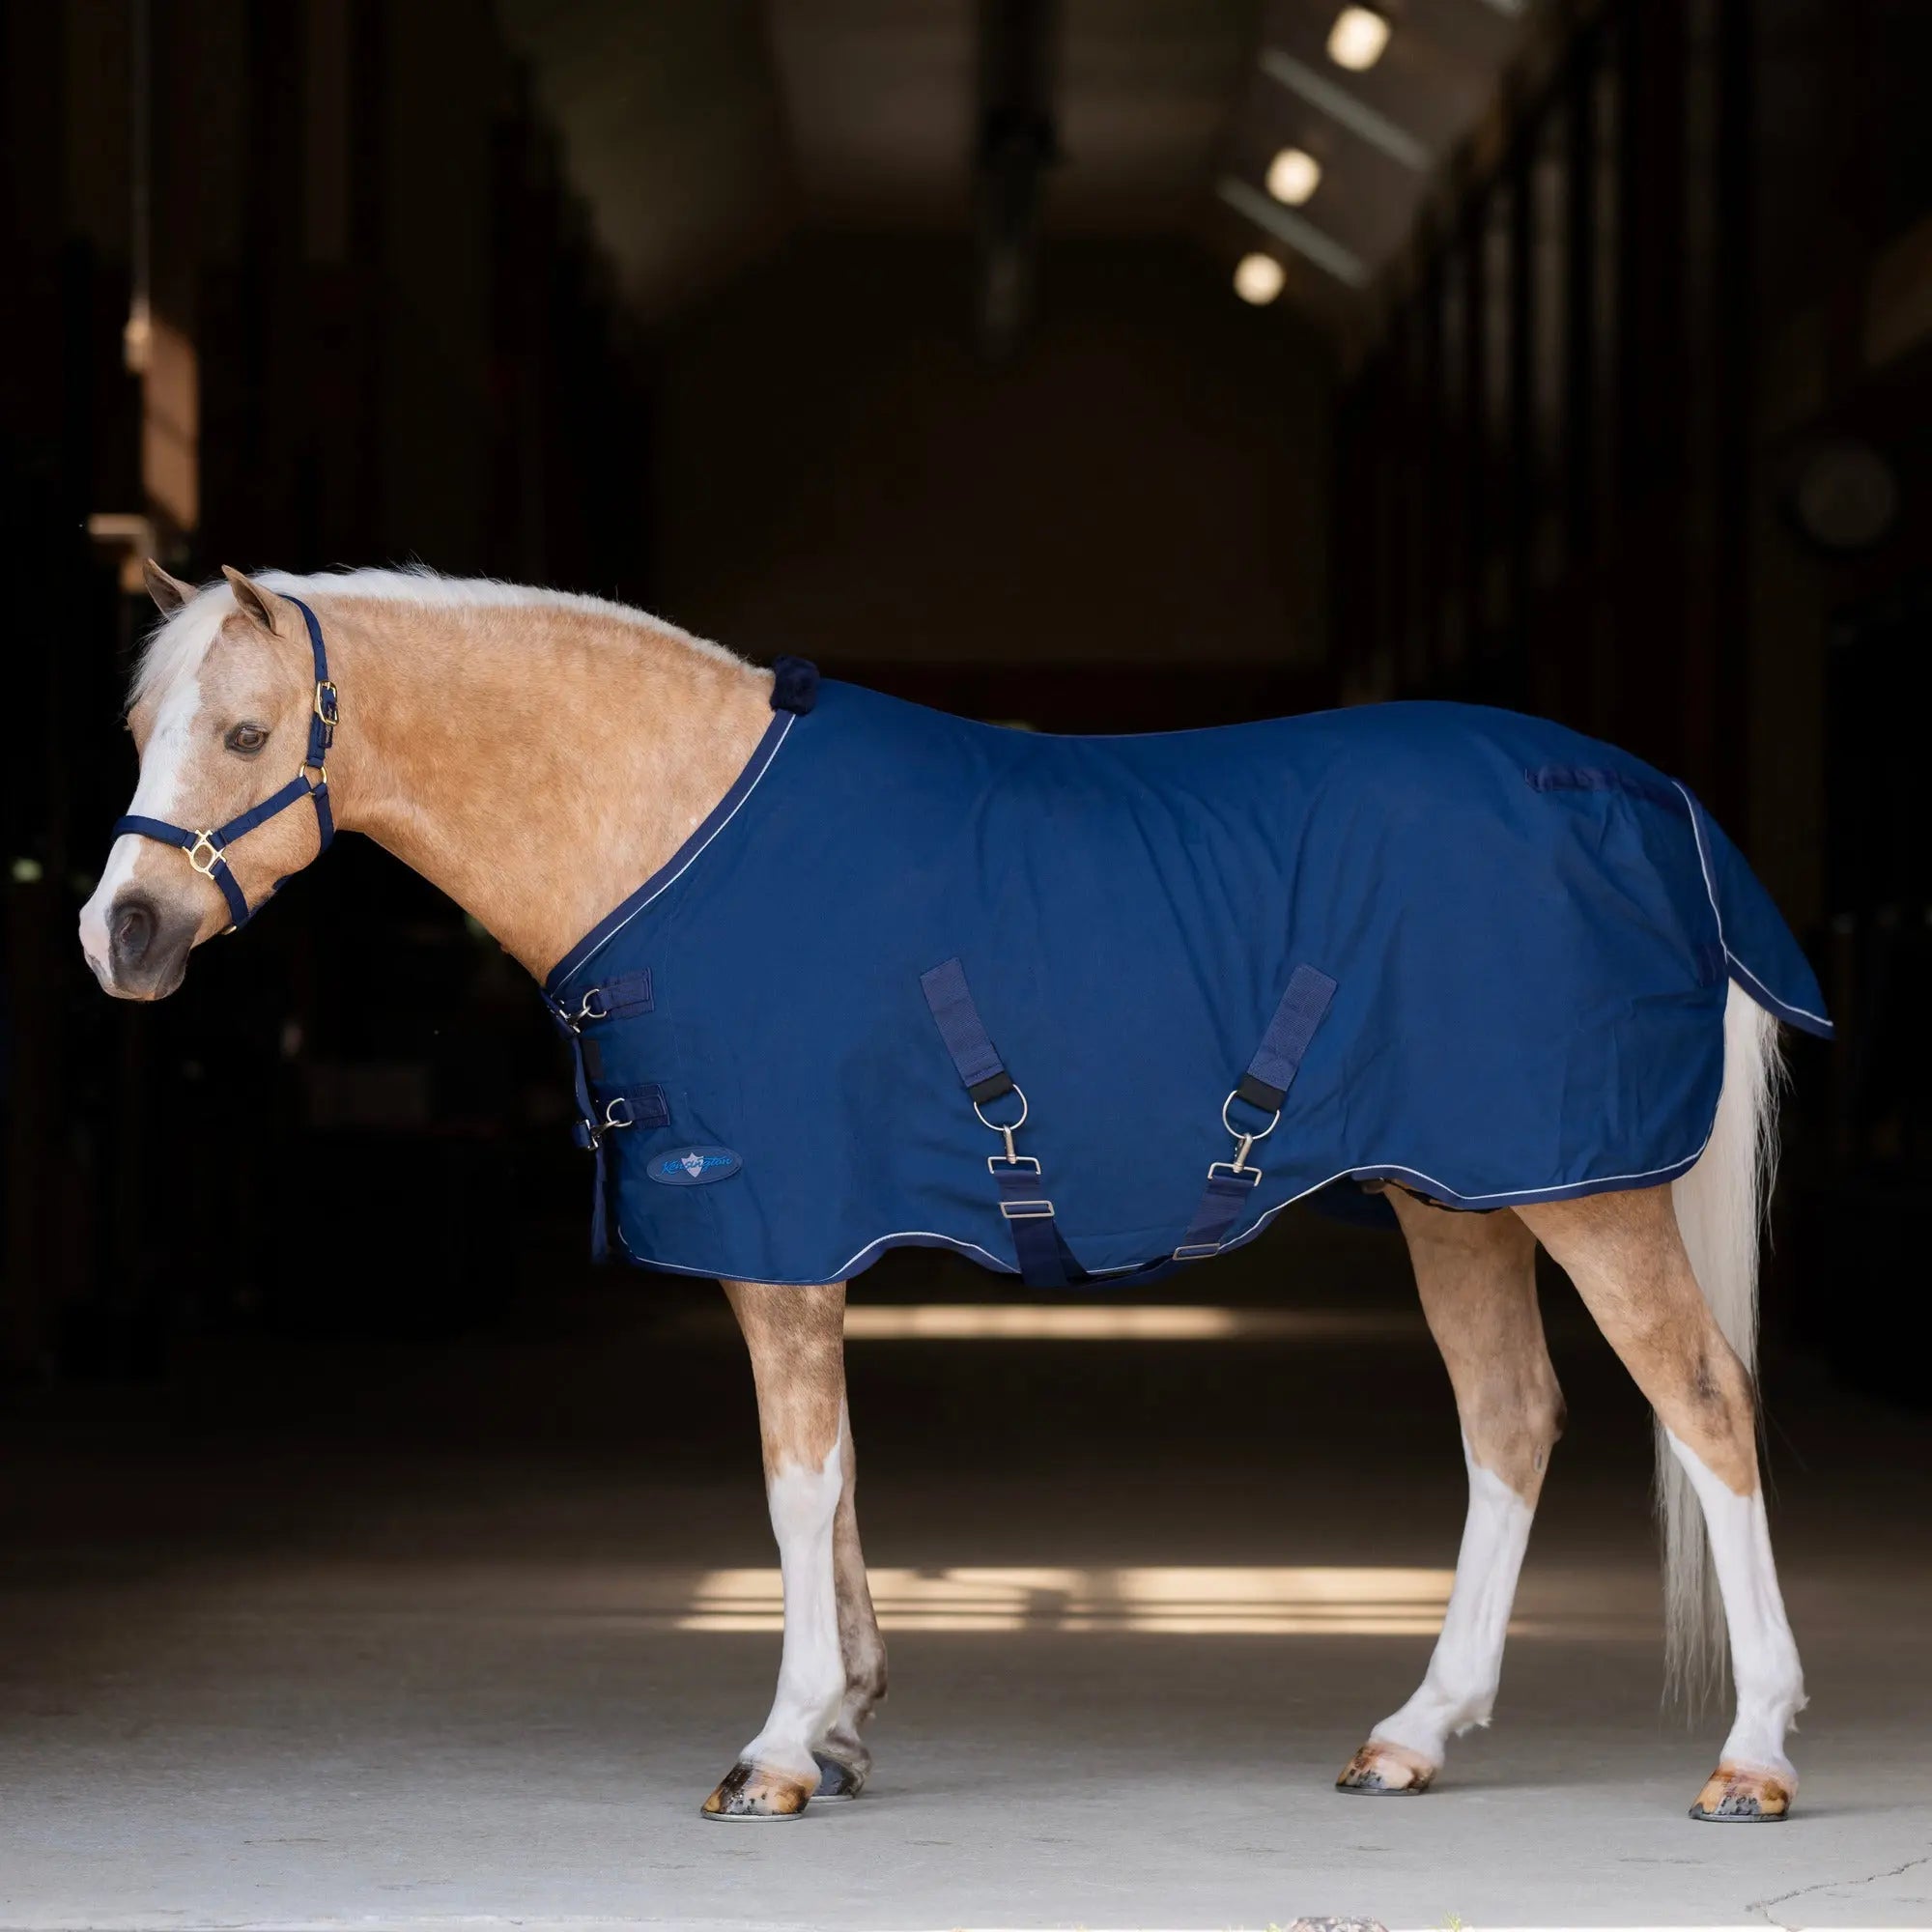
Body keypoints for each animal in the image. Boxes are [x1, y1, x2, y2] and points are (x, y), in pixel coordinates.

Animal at [81, 561, 1819, 1824]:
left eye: (243, 739)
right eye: (144, 734)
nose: (123, 936)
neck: (675, 821)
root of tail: (1656, 804)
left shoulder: (781, 1227)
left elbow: (795, 1486)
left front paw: (782, 1749)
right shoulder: (807, 1234)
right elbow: (836, 1481)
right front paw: (844, 1725)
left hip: (1584, 1193)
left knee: (1707, 1402)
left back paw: (1754, 1752)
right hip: (1455, 1197)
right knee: (1511, 1420)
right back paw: (1417, 1732)